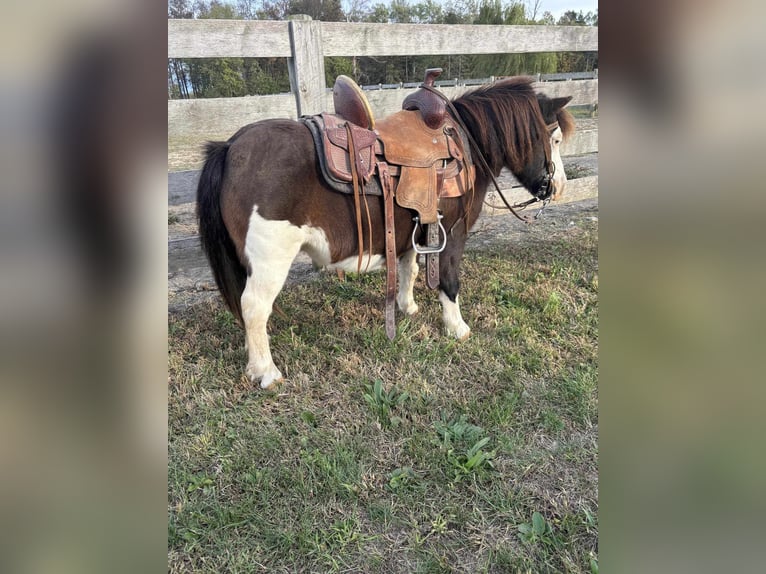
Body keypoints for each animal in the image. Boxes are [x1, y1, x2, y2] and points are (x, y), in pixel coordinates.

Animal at [195, 76, 572, 390]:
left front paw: (407, 307)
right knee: (254, 307)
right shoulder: (453, 234)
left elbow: (410, 269)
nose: (557, 188)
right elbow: (449, 282)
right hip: (270, 259)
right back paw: (266, 372)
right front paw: (457, 328)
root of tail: (230, 147)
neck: (466, 145)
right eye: (554, 138)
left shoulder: (416, 229)